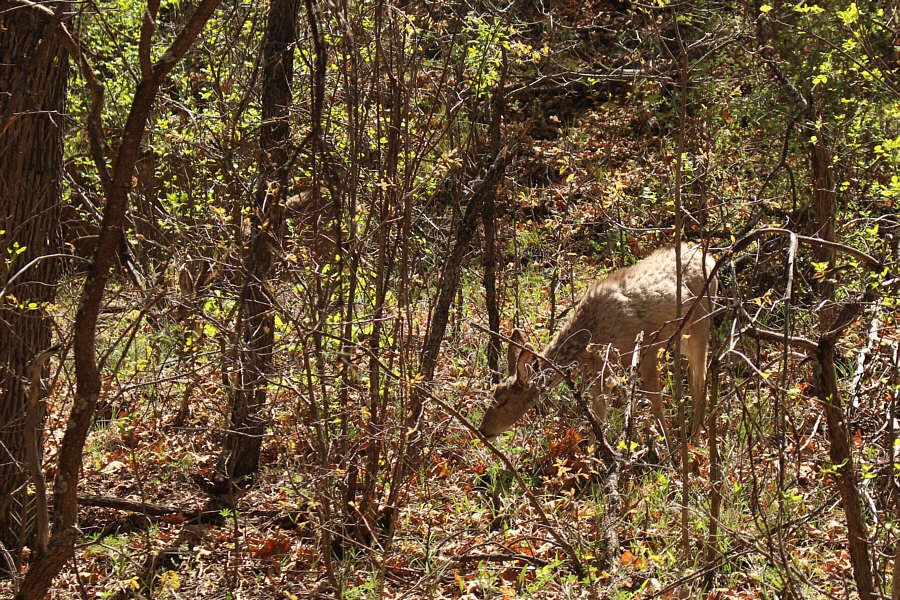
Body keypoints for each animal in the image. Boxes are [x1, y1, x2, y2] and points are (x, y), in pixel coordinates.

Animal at [479, 243, 716, 444]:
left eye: (504, 401)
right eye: (492, 395)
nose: (483, 431)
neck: (591, 338)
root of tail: (709, 258)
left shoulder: (647, 350)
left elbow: (655, 405)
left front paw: (668, 450)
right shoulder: (599, 369)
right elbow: (598, 417)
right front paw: (593, 461)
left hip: (701, 322)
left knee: (702, 380)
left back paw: (695, 438)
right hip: (682, 336)